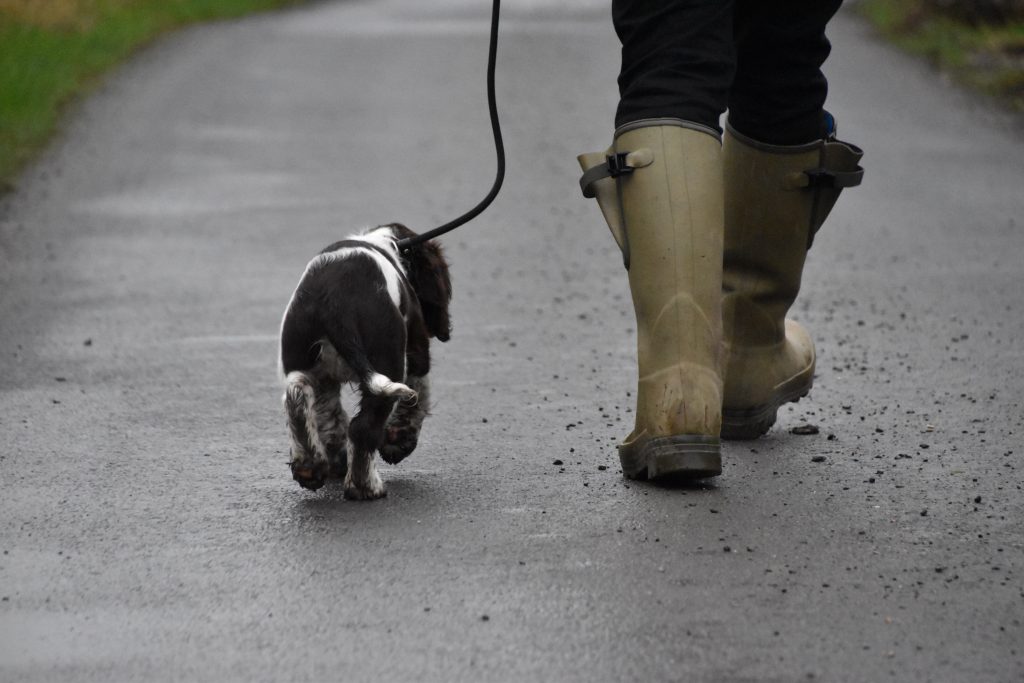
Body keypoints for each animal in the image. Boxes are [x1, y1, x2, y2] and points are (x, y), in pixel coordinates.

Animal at [282, 223, 454, 497]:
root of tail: (334, 302)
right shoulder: (416, 353)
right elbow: (417, 397)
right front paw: (399, 441)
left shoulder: (325, 380)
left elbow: (329, 416)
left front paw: (336, 460)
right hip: (389, 358)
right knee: (363, 427)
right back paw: (366, 488)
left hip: (301, 360)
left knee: (297, 398)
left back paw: (309, 468)